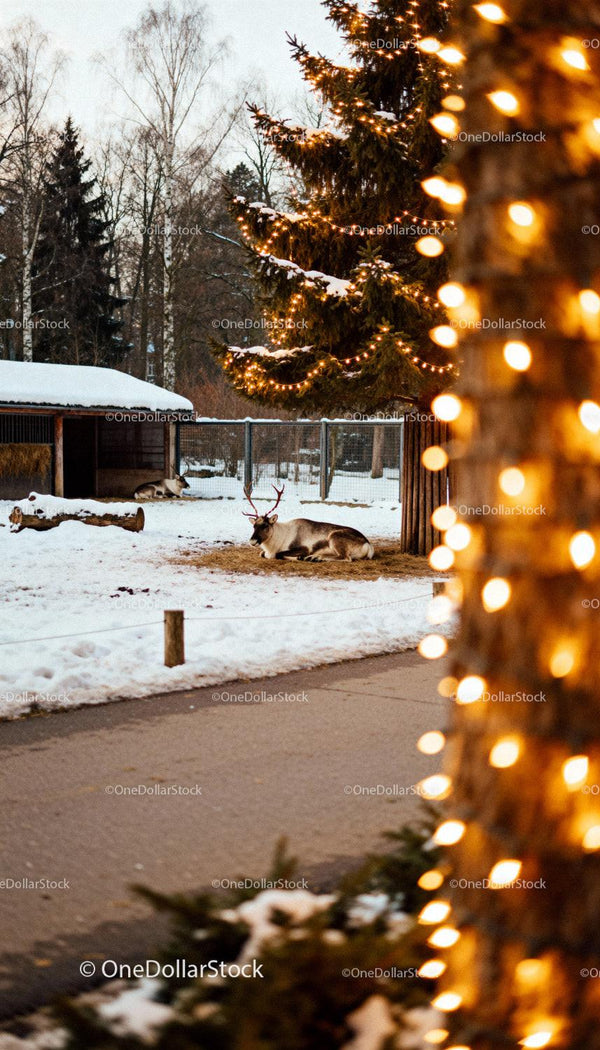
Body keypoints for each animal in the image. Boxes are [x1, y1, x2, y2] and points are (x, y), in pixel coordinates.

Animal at [243, 484, 375, 561]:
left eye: (265, 525)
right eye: (254, 526)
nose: (252, 541)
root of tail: (368, 544)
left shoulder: (303, 547)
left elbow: (278, 554)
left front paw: (300, 557)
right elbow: (262, 553)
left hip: (334, 537)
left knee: (345, 558)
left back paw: (315, 557)